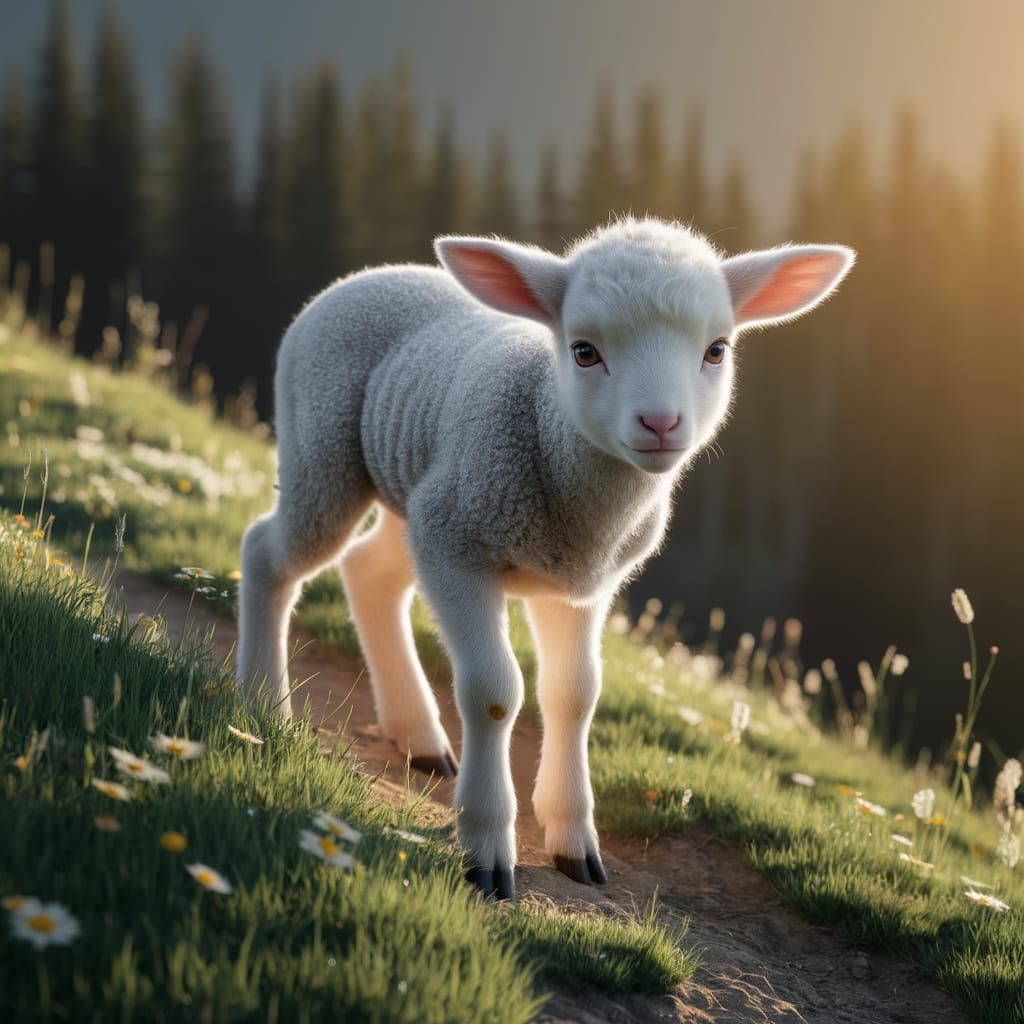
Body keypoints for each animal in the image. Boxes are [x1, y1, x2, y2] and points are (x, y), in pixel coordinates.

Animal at [237, 217, 854, 901]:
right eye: (584, 351)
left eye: (716, 350)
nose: (661, 423)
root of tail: (364, 278)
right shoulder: (460, 547)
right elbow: (494, 693)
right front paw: (486, 850)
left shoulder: (581, 583)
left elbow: (574, 695)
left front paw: (573, 843)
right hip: (327, 455)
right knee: (268, 553)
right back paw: (261, 707)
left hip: (415, 496)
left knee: (369, 573)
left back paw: (418, 737)